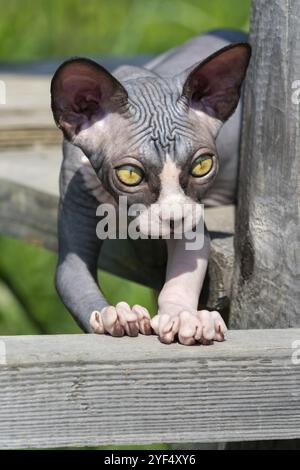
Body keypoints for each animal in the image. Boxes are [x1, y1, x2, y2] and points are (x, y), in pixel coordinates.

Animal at [50, 29, 250, 346]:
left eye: (202, 166)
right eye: (130, 175)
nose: (174, 219)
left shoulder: (192, 214)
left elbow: (183, 275)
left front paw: (185, 317)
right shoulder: (76, 186)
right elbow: (71, 277)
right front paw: (114, 315)